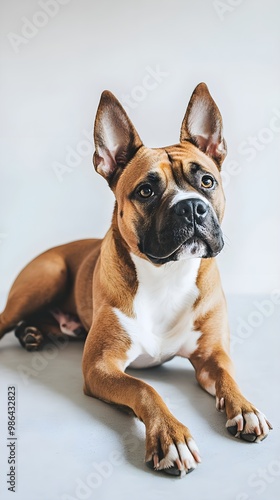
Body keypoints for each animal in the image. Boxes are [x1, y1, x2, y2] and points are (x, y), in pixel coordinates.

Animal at [0, 84, 272, 478]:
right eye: (146, 191)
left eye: (206, 181)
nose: (191, 207)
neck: (167, 275)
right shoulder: (101, 366)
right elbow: (145, 389)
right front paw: (171, 437)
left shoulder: (212, 355)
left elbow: (227, 377)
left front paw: (246, 408)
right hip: (46, 276)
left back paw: (34, 334)